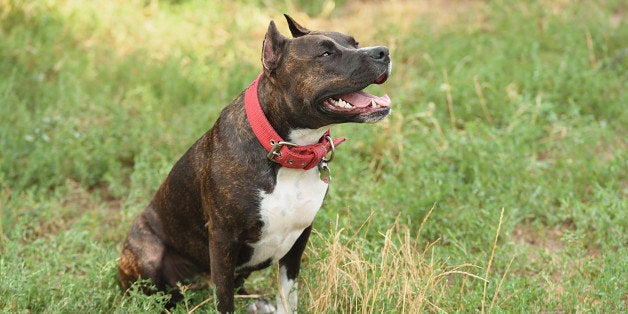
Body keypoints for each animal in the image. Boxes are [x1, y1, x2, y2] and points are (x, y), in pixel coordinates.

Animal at [118, 13, 390, 312]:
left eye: (355, 43)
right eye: (325, 53)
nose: (383, 51)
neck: (286, 151)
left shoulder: (299, 239)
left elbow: (287, 294)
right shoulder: (223, 241)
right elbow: (225, 299)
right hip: (149, 254)